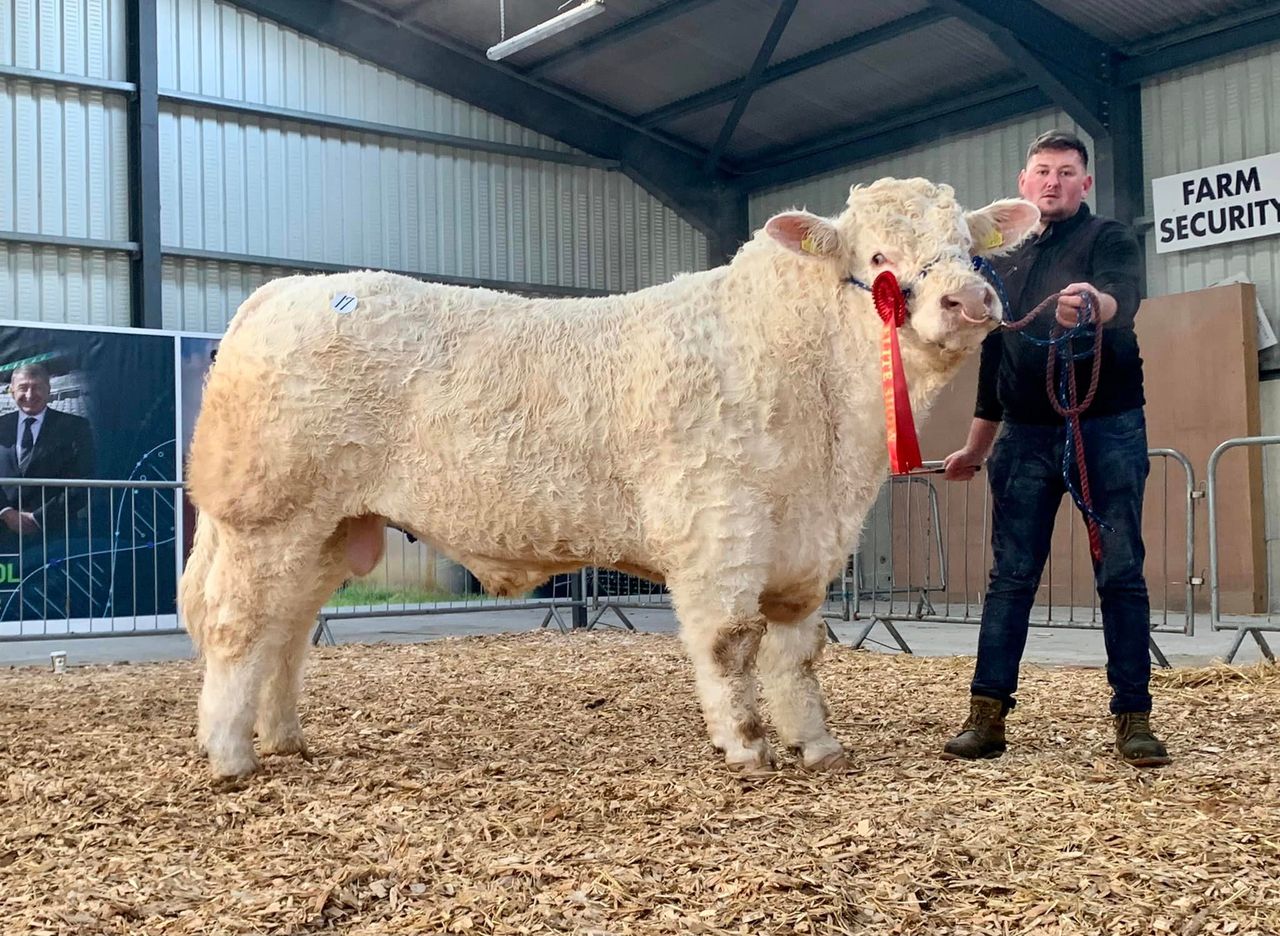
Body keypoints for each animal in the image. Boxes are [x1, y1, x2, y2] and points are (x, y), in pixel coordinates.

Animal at [181, 177, 1039, 779]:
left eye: (972, 248)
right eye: (878, 260)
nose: (970, 299)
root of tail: (284, 291)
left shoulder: (808, 545)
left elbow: (798, 654)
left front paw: (819, 745)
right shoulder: (718, 529)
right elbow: (731, 645)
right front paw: (748, 748)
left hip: (329, 526)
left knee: (288, 630)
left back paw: (284, 739)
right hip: (270, 513)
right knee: (238, 626)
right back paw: (231, 757)